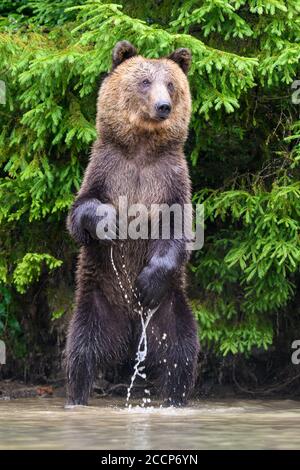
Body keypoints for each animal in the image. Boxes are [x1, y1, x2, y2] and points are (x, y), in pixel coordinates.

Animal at [65, 40, 199, 406]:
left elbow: (178, 231)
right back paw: (76, 397)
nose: (163, 106)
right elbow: (80, 212)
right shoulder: (106, 169)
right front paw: (109, 222)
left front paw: (147, 281)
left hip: (170, 309)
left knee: (181, 354)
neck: (141, 148)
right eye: (144, 82)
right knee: (80, 354)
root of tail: (129, 330)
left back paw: (175, 399)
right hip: (96, 302)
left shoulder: (170, 180)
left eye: (171, 84)